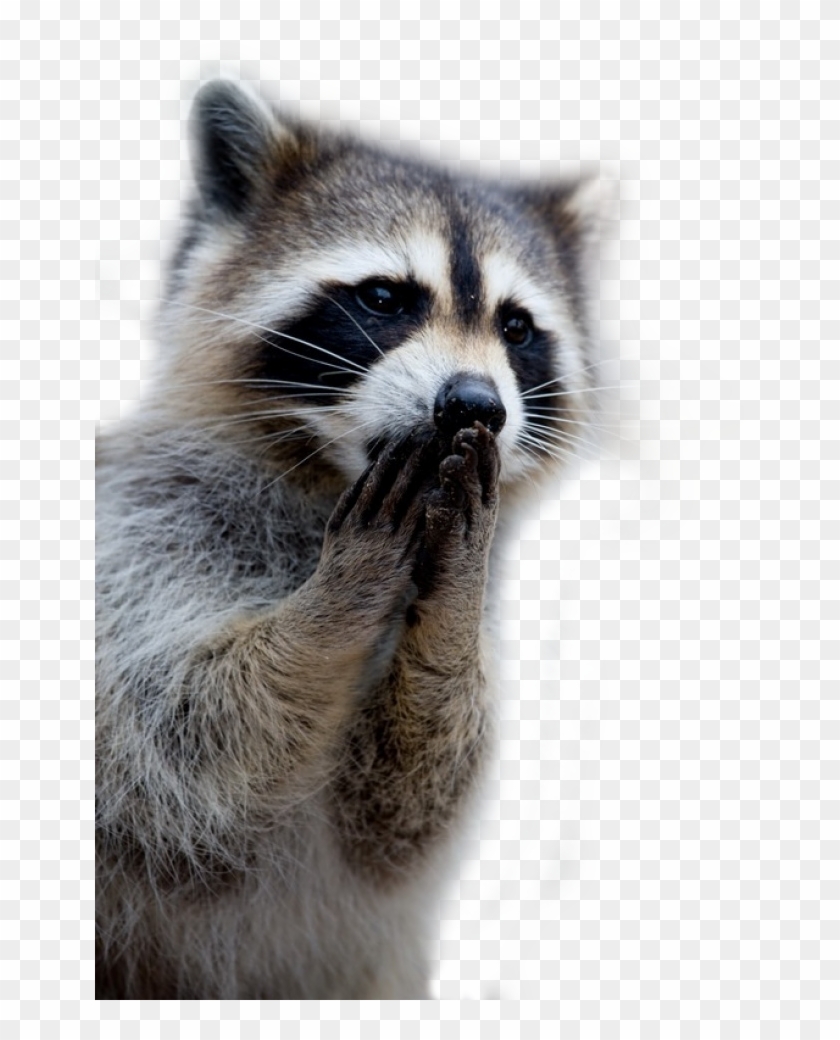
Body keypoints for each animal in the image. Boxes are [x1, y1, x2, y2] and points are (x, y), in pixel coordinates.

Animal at [96, 80, 605, 999]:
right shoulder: (140, 538)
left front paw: (448, 617)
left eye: (516, 328)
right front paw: (337, 600)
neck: (329, 486)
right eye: (383, 299)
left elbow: (397, 816)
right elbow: (177, 757)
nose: (475, 405)